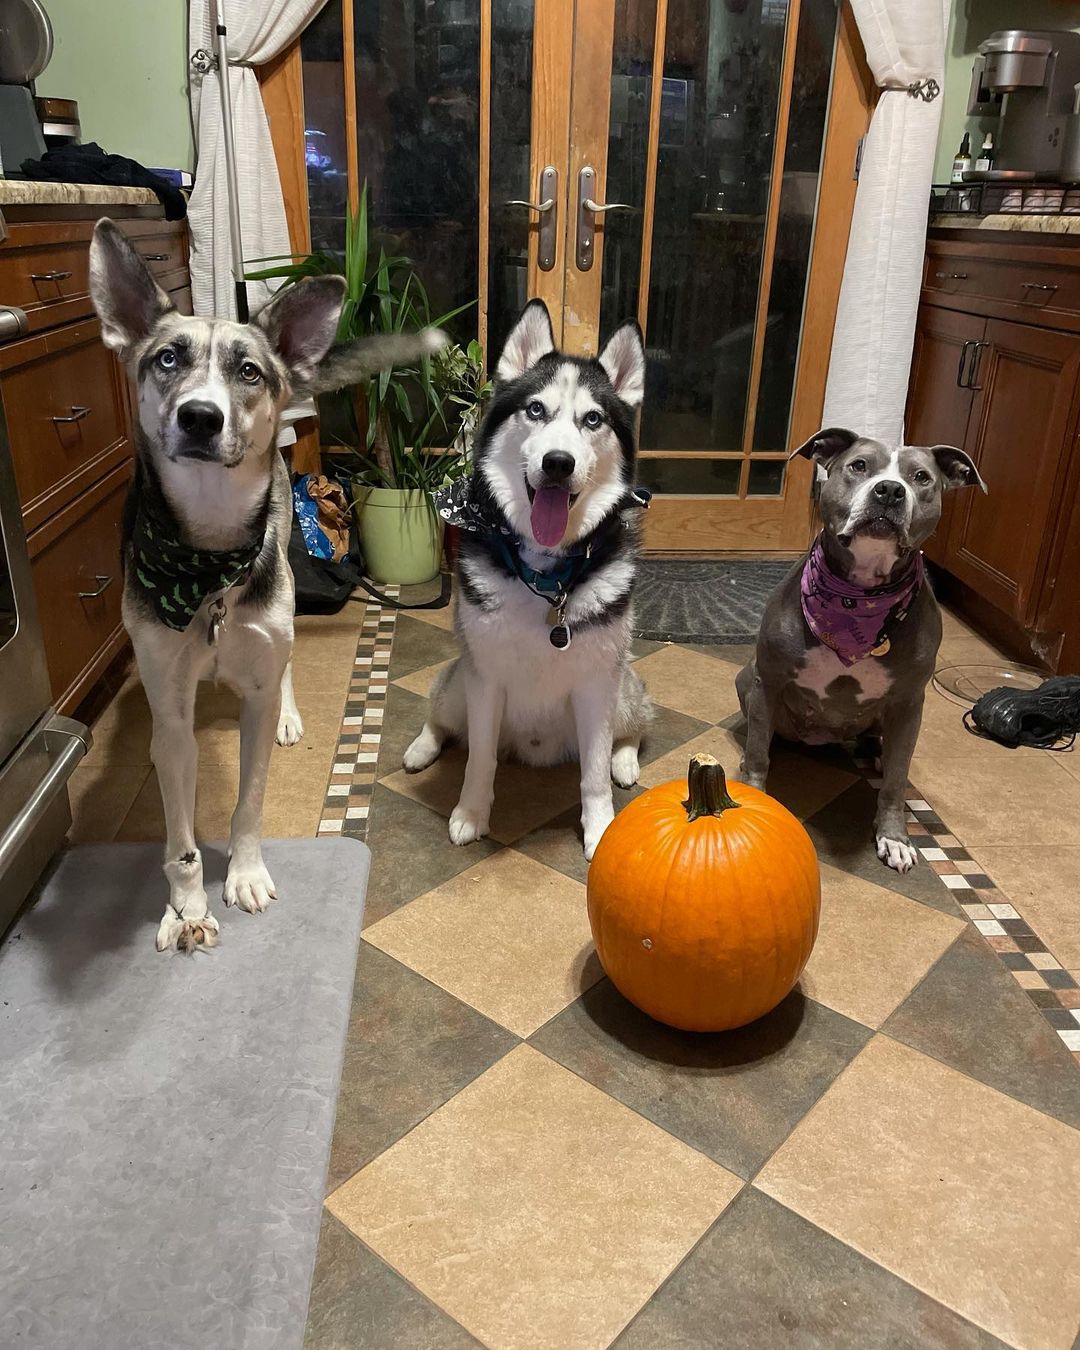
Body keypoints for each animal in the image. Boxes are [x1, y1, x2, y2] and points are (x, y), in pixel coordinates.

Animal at [739, 429, 982, 874]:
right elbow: (759, 755)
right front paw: (753, 788)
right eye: (859, 466)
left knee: (888, 750)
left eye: (921, 477)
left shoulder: (909, 701)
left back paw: (879, 754)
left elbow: (896, 785)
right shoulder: (770, 681)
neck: (859, 598)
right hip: (748, 678)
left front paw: (894, 837)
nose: (890, 490)